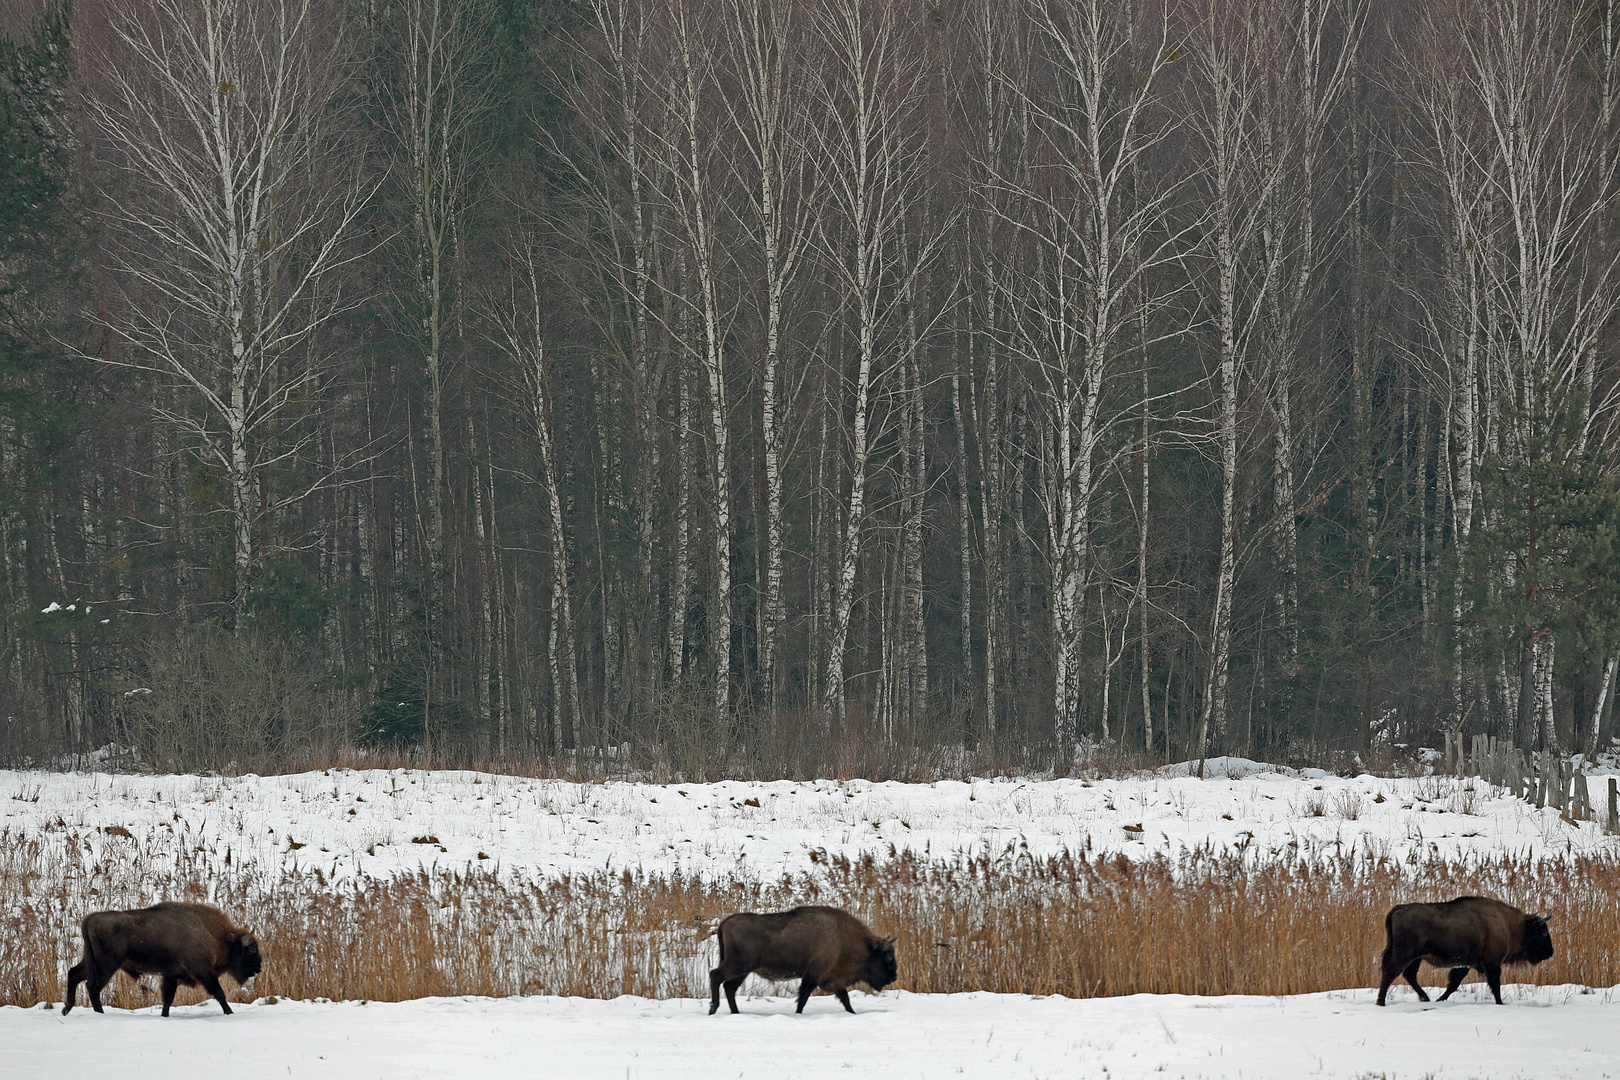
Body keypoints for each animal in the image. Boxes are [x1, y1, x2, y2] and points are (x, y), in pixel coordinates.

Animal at [60, 900, 262, 1016]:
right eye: (251, 950)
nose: (259, 968)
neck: (214, 935)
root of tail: (91, 918)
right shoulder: (202, 971)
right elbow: (219, 992)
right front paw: (230, 1012)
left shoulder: (171, 975)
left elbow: (168, 998)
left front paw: (164, 1015)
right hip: (106, 965)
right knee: (93, 986)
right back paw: (98, 1013)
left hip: (91, 962)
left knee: (74, 974)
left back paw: (66, 1009)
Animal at [709, 906, 900, 1016]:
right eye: (887, 957)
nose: (894, 977)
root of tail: (725, 922)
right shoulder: (813, 975)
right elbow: (803, 997)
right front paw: (798, 1013)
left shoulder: (831, 980)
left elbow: (845, 999)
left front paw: (852, 1013)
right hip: (737, 966)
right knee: (715, 976)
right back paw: (713, 1009)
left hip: (743, 971)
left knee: (729, 987)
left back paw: (735, 1013)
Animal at [1373, 893, 1548, 1003]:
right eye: (1544, 932)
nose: (1550, 952)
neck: (1509, 924)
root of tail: (1399, 908)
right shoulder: (1492, 964)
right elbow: (1495, 985)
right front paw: (1500, 1003)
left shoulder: (1464, 965)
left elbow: (1453, 984)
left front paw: (1440, 999)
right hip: (1404, 955)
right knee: (1390, 973)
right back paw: (1381, 1002)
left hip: (1415, 958)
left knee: (1408, 975)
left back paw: (1425, 998)